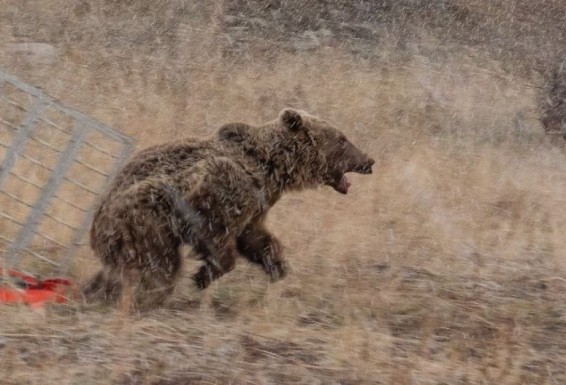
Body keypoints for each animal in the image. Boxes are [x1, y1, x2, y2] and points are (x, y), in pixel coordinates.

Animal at [84, 108, 374, 306]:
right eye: (342, 139)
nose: (369, 160)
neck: (271, 169)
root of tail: (95, 230)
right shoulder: (221, 191)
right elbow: (216, 237)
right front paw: (203, 276)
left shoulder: (258, 205)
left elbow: (257, 239)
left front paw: (277, 267)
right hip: (144, 219)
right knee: (161, 265)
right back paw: (144, 296)